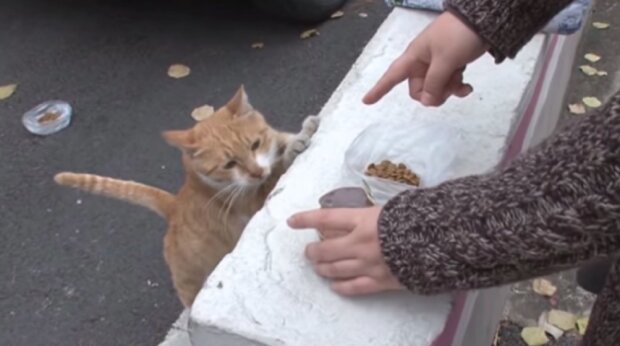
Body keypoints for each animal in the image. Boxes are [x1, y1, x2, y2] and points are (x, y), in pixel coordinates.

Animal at [53, 86, 320, 306]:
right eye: (229, 164)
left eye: (255, 144)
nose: (256, 172)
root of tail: (174, 205)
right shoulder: (253, 201)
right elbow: (278, 172)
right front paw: (294, 147)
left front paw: (303, 130)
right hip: (190, 284)